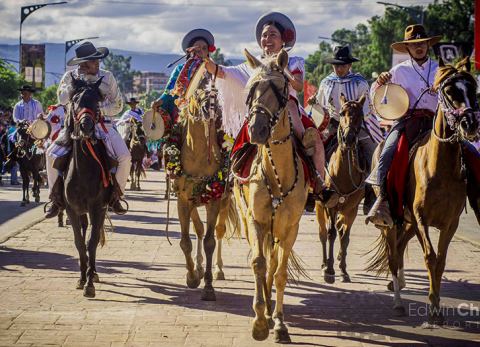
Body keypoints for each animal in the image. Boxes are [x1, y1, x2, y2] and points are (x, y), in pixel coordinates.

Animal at [169, 64, 240, 302]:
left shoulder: (214, 201)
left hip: (224, 200)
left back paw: (218, 270)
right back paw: (198, 268)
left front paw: (208, 286)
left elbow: (210, 241)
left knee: (218, 231)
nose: (210, 107)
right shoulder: (183, 200)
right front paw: (192, 276)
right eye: (198, 86)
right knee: (198, 230)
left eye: (215, 87)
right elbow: (186, 241)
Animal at [234, 50, 310, 344]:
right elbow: (258, 264)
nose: (256, 129)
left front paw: (279, 323)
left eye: (280, 88)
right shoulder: (256, 221)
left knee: (275, 261)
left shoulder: (291, 228)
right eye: (250, 90)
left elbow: (279, 272)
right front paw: (259, 321)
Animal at [316, 94, 368, 284]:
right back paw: (324, 263)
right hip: (320, 206)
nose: (348, 138)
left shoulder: (351, 208)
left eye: (360, 114)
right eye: (341, 113)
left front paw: (343, 270)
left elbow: (345, 236)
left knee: (339, 229)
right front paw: (329, 270)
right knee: (323, 233)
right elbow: (331, 234)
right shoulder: (330, 206)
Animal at [366, 57, 478, 326]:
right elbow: (430, 257)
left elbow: (441, 261)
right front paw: (433, 309)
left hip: (406, 222)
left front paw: (436, 307)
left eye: (472, 89)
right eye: (449, 92)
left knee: (399, 249)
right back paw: (397, 302)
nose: (470, 124)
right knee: (393, 255)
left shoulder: (450, 223)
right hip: (392, 221)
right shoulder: (421, 219)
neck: (440, 168)